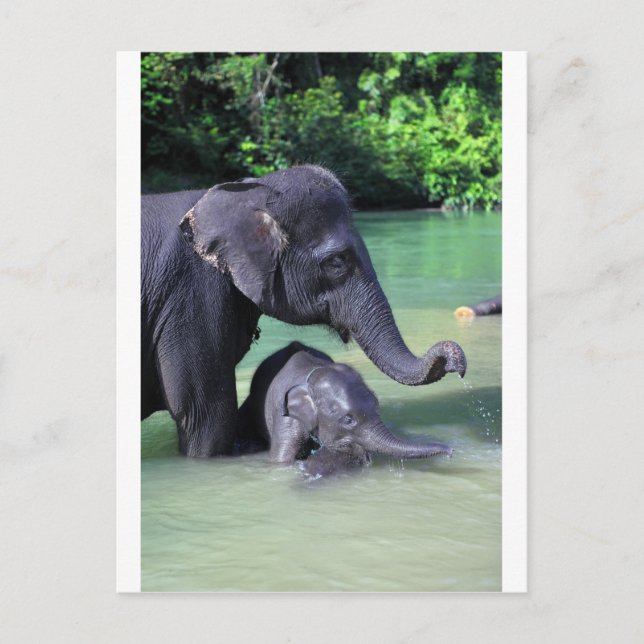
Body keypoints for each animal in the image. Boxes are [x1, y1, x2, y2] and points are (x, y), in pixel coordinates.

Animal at [236, 341, 454, 472]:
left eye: (377, 406)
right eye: (348, 419)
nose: (451, 451)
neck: (314, 374)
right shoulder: (286, 417)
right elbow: (281, 460)